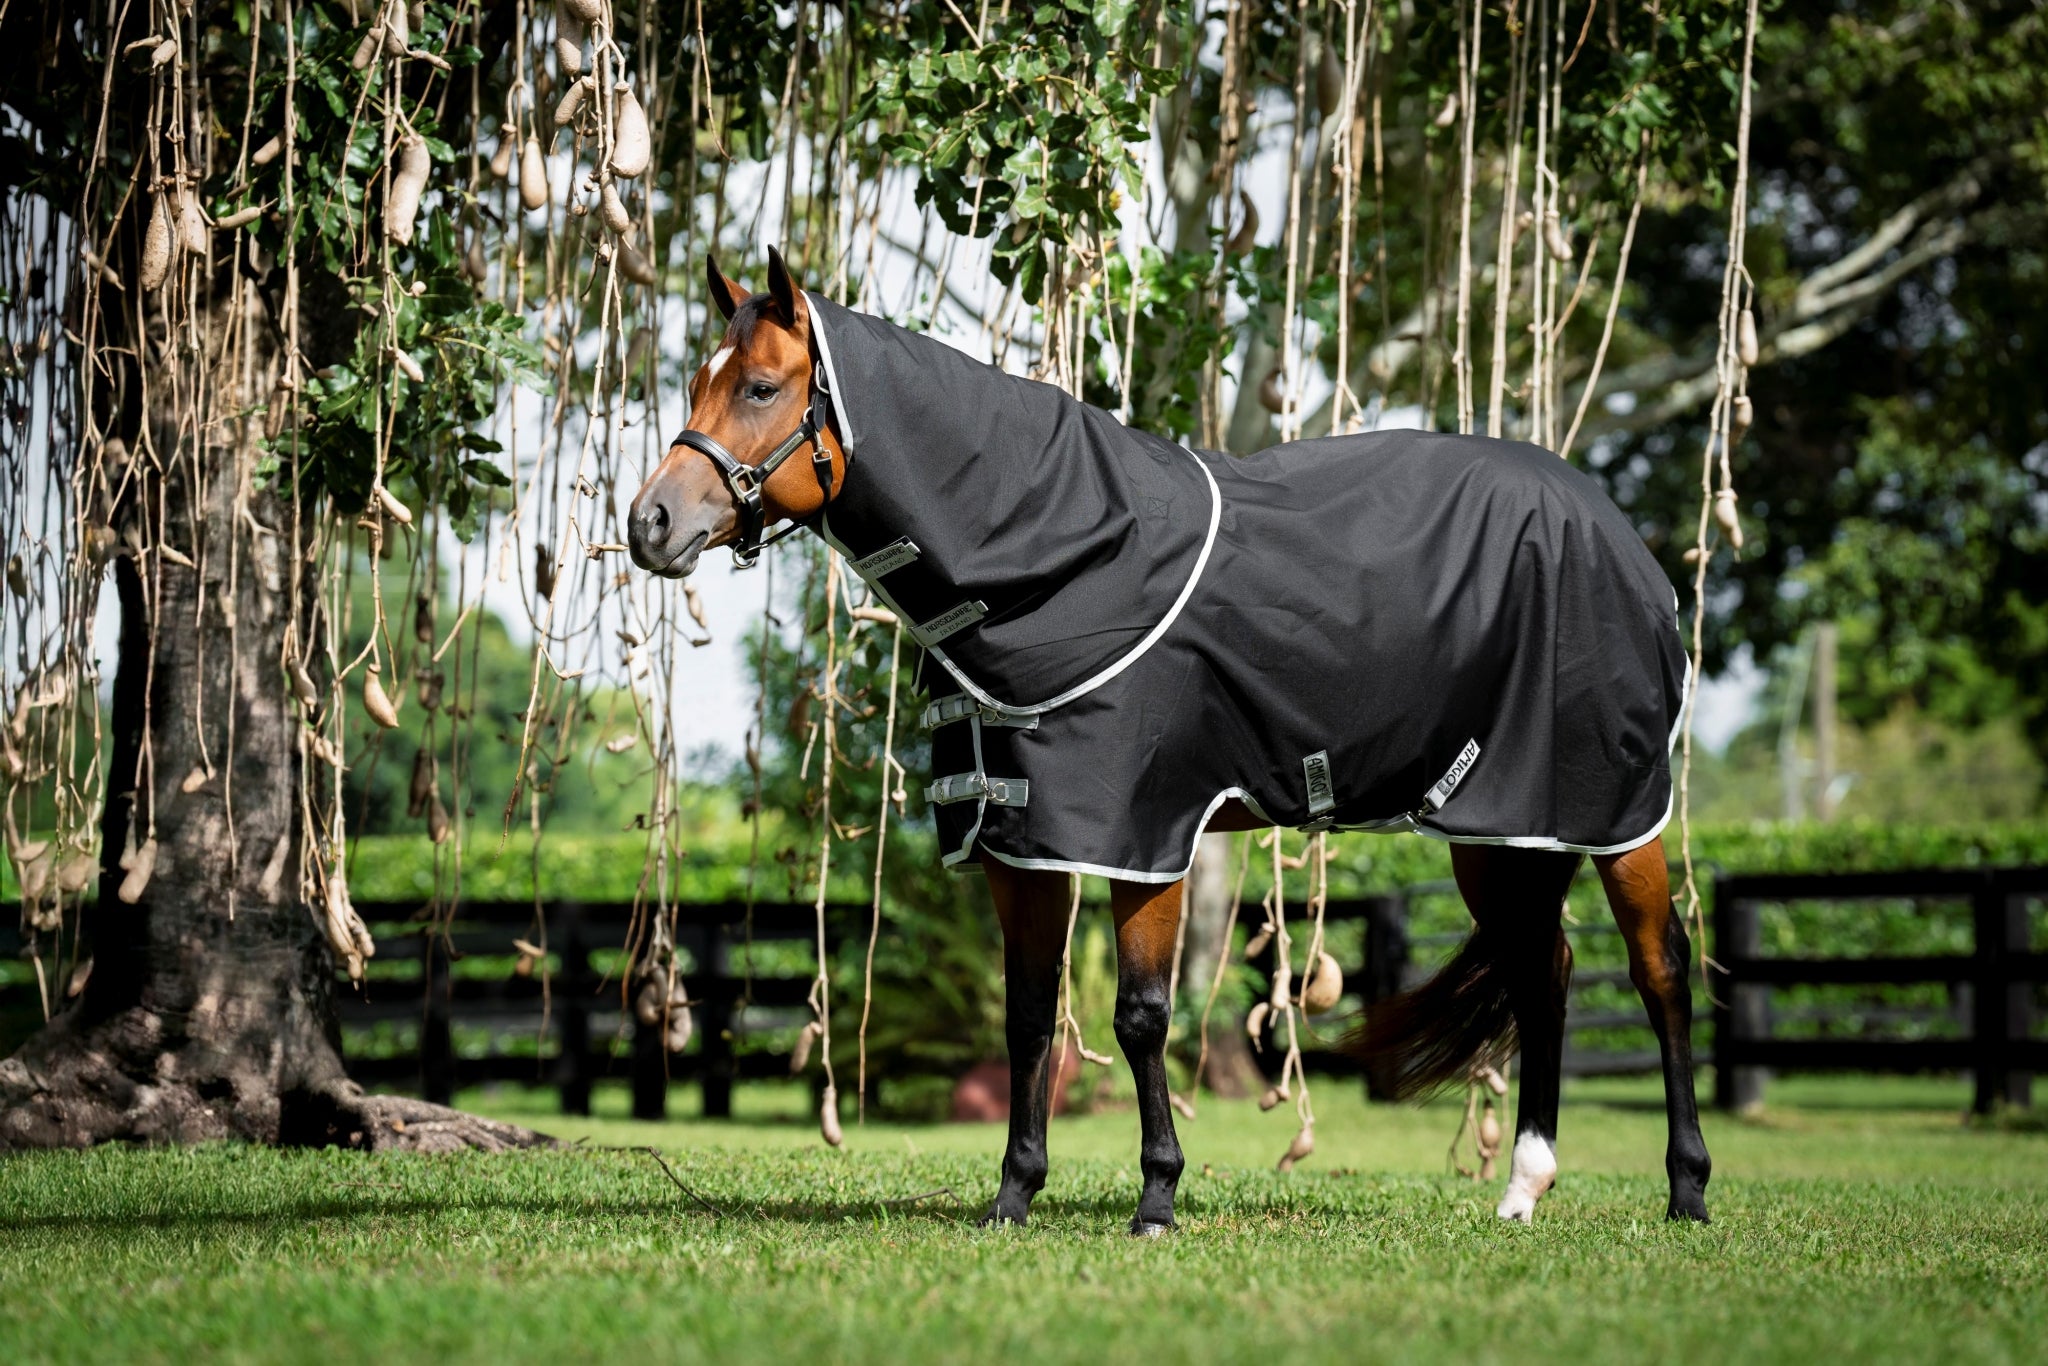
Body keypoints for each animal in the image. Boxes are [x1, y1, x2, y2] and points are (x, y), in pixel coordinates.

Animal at [628, 247, 1713, 1234]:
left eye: (761, 386)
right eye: (699, 383)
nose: (651, 522)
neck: (1063, 555)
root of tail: (1614, 531)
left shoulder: (1143, 836)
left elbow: (1140, 1015)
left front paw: (1156, 1197)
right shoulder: (1024, 845)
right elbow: (1030, 1015)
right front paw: (1013, 1195)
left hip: (1614, 813)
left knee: (1658, 969)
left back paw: (1686, 1188)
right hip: (1501, 827)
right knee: (1543, 972)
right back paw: (1524, 1186)